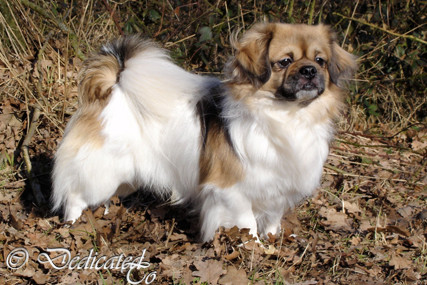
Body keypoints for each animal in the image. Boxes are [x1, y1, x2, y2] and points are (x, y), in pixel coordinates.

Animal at [51, 22, 358, 241]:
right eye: (284, 62)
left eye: (320, 61)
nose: (308, 71)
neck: (287, 115)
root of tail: (113, 87)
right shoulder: (232, 190)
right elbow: (247, 224)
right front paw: (254, 249)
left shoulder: (276, 190)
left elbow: (271, 221)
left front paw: (272, 244)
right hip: (102, 171)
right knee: (75, 196)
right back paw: (74, 225)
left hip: (125, 176)